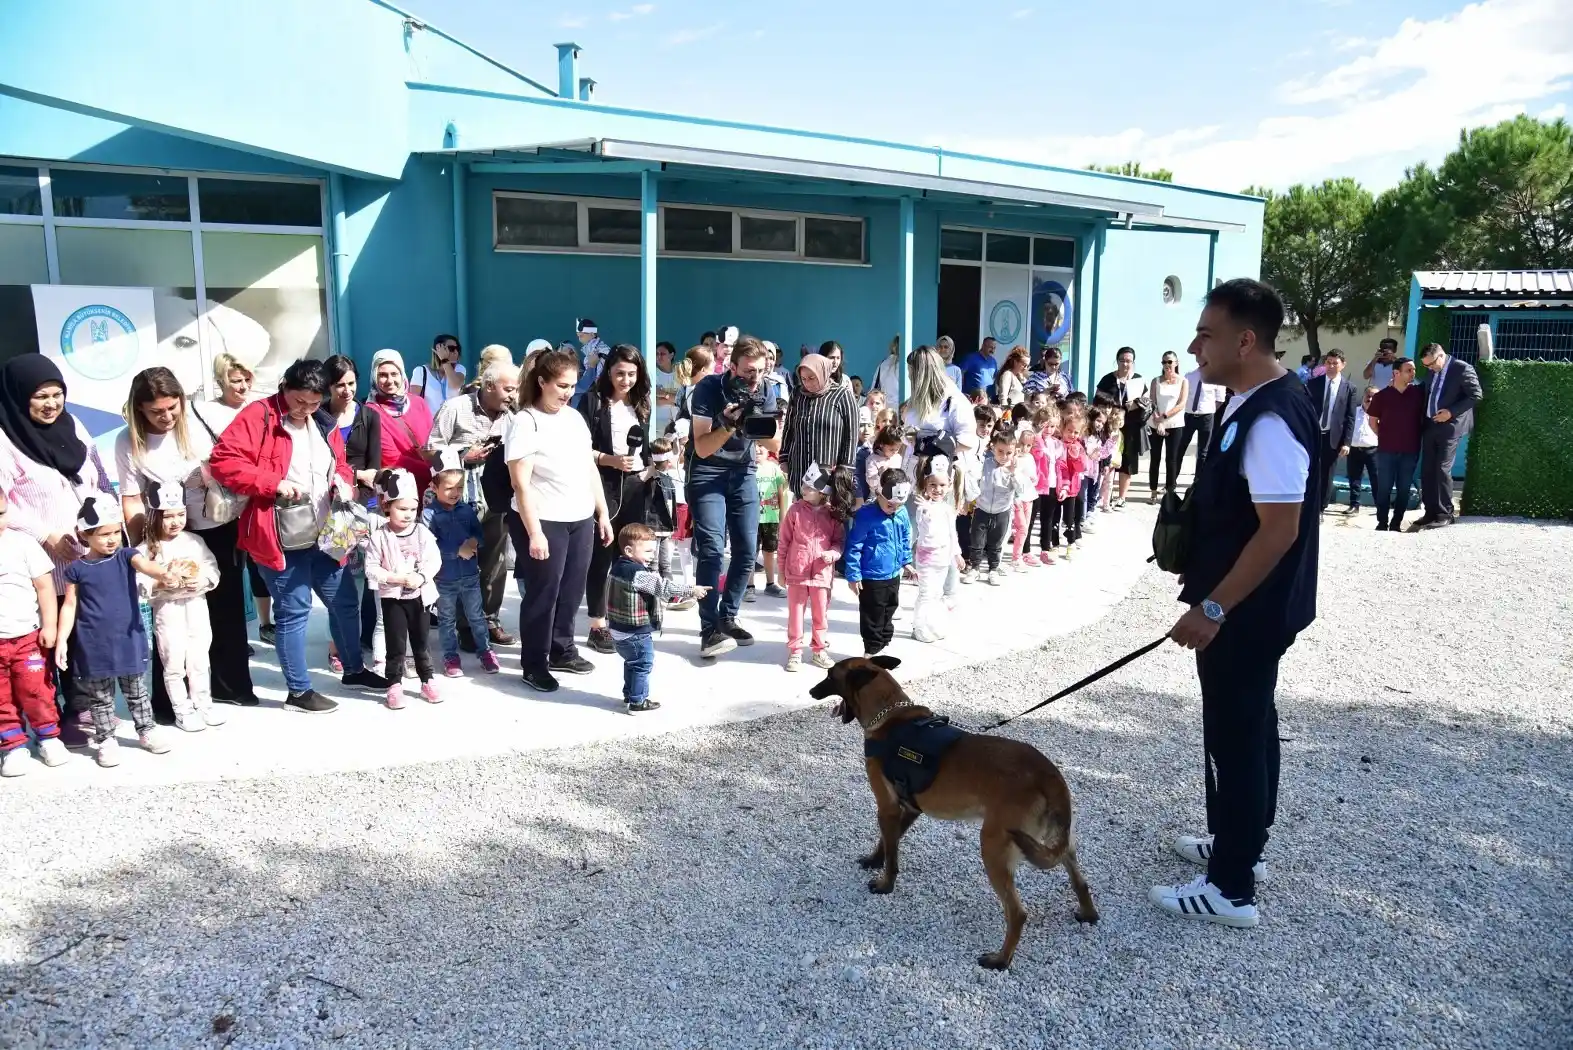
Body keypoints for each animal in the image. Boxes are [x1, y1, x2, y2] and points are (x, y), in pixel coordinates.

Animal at [811, 657, 1094, 968]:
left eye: (829, 676)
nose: (811, 691)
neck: (890, 715)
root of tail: (1049, 775)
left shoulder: (887, 806)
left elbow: (892, 855)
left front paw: (886, 884)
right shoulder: (908, 808)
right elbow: (888, 841)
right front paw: (875, 860)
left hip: (993, 846)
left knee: (1018, 913)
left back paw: (1000, 960)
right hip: (1058, 842)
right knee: (1080, 880)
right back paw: (1088, 914)